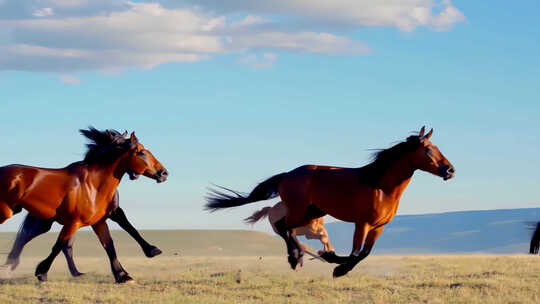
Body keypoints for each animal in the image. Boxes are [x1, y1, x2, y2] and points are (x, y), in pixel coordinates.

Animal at [0, 127, 168, 282]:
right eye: (141, 152)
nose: (164, 173)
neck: (93, 185)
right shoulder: (74, 222)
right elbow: (59, 244)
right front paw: (41, 272)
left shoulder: (100, 221)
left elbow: (110, 244)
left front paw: (123, 275)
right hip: (12, 215)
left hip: (40, 221)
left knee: (26, 238)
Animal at [207, 127, 456, 276]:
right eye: (427, 149)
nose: (450, 170)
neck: (380, 186)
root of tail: (287, 175)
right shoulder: (362, 223)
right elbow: (355, 253)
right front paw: (338, 267)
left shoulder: (379, 227)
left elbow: (365, 253)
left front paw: (334, 261)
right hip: (300, 211)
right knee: (284, 227)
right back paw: (296, 257)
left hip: (311, 212)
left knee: (286, 229)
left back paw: (297, 258)